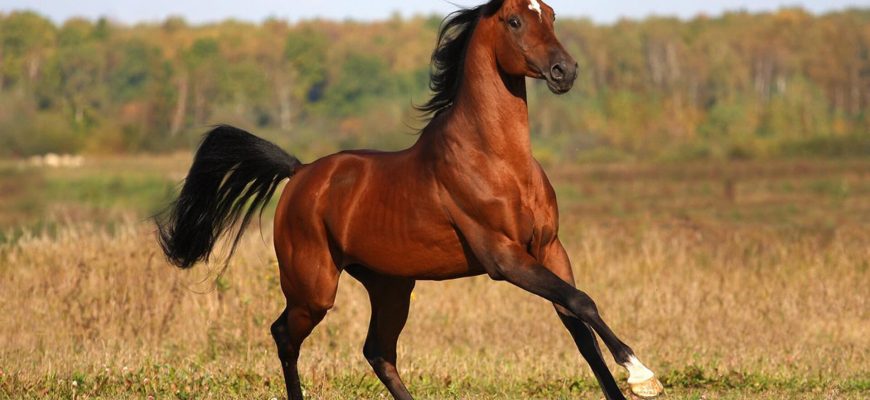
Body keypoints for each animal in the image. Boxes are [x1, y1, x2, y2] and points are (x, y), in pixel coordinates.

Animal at [156, 1, 664, 399]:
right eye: (516, 20)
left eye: (553, 14)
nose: (566, 71)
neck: (497, 160)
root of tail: (300, 173)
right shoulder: (504, 258)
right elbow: (582, 303)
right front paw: (642, 374)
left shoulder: (549, 249)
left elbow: (580, 326)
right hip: (314, 290)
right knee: (285, 336)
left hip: (390, 285)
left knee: (378, 351)